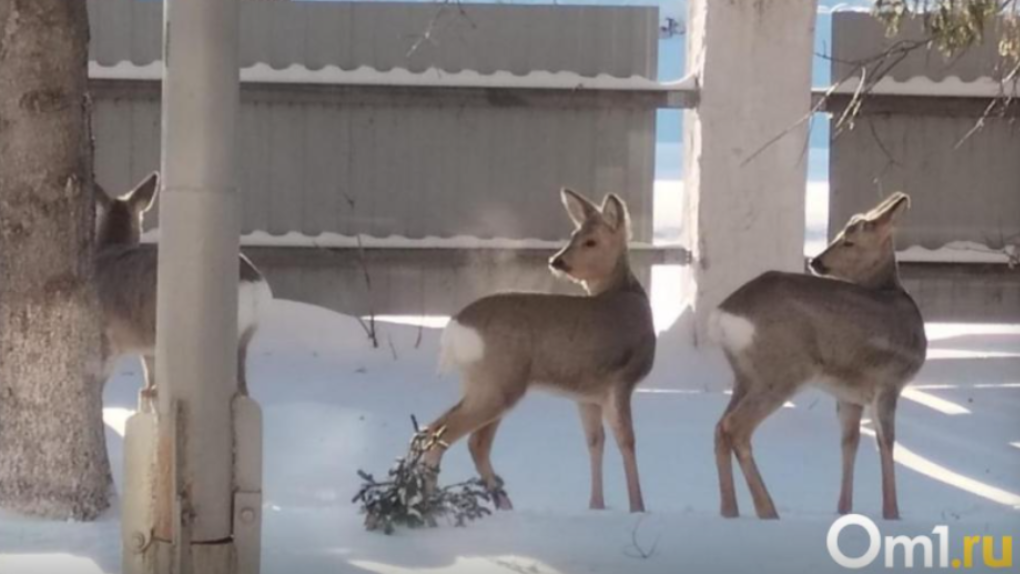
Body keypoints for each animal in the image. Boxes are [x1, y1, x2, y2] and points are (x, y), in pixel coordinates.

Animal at [93, 173, 271, 401]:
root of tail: (254, 285)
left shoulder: (110, 339)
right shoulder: (146, 345)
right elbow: (149, 372)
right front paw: (149, 392)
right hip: (244, 335)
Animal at [422, 188, 652, 511]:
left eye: (589, 240)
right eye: (575, 235)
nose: (557, 261)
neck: (627, 295)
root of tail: (455, 328)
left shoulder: (587, 394)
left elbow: (595, 442)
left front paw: (596, 506)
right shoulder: (620, 380)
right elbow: (627, 441)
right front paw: (637, 508)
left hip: (481, 382)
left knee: (463, 438)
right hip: (500, 382)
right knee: (445, 433)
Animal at [709, 192, 926, 522]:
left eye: (848, 241)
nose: (816, 261)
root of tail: (723, 315)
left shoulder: (849, 395)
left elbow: (849, 442)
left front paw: (844, 510)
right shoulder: (889, 383)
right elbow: (886, 442)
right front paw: (892, 513)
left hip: (744, 375)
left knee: (719, 427)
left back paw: (729, 511)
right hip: (783, 371)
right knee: (735, 427)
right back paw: (767, 510)